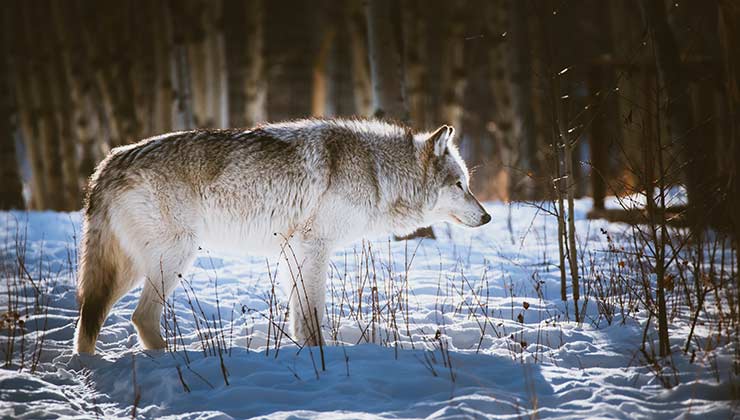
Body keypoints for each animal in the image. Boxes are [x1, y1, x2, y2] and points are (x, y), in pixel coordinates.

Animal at [75, 119, 492, 354]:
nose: (487, 216)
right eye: (460, 185)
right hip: (174, 257)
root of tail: (109, 162)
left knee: (92, 315)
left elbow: (298, 315)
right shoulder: (314, 248)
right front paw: (320, 356)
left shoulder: (294, 251)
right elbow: (312, 312)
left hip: (130, 269)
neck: (378, 172)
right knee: (139, 316)